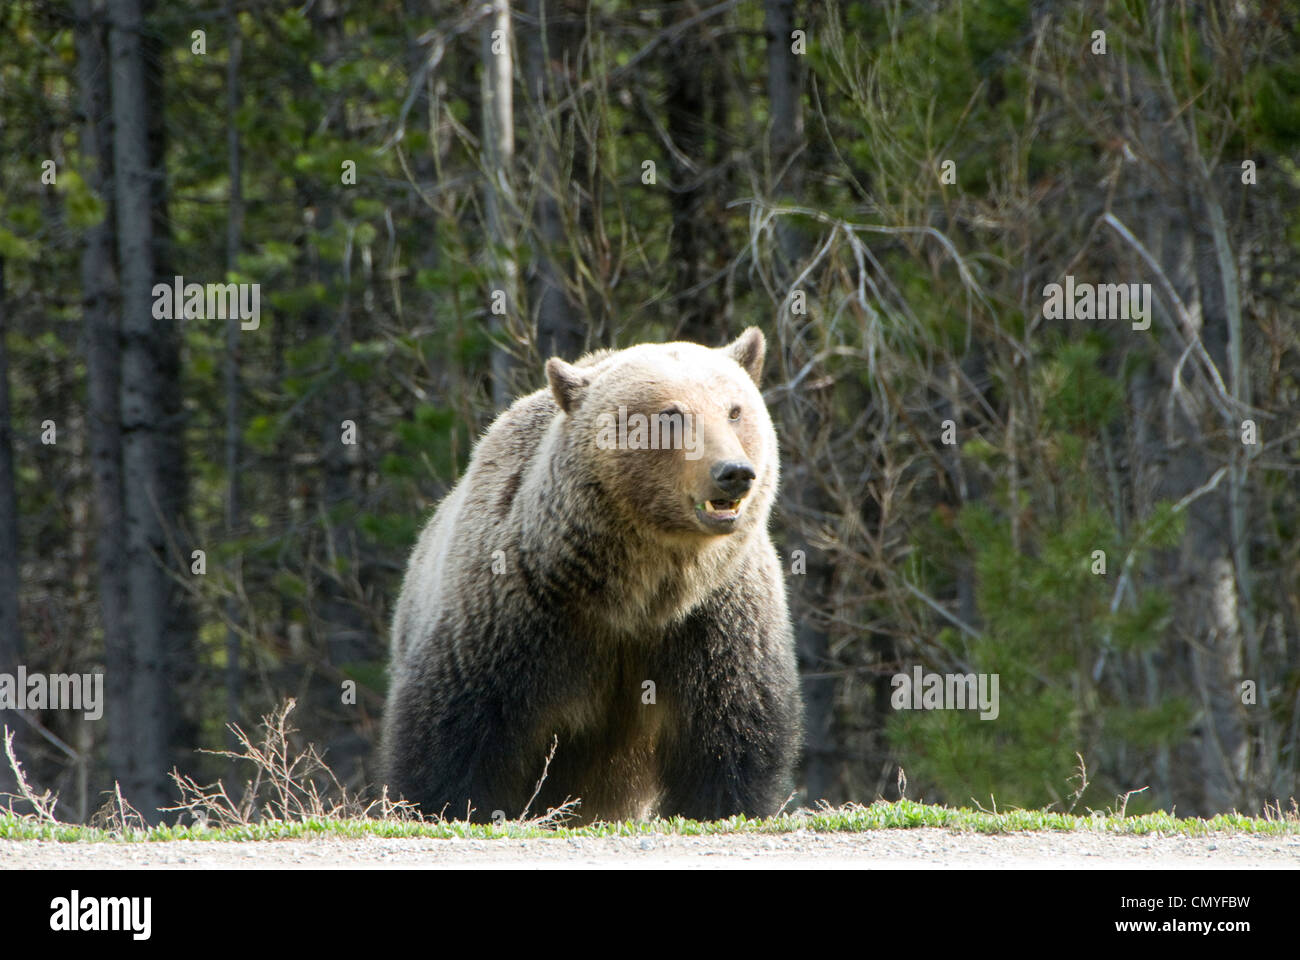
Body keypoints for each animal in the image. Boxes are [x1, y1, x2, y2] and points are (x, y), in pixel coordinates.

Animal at [379, 325, 800, 816]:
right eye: (671, 415)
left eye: (734, 410)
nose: (733, 472)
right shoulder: (511, 617)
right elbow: (456, 732)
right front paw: (444, 804)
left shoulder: (714, 617)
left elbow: (733, 732)